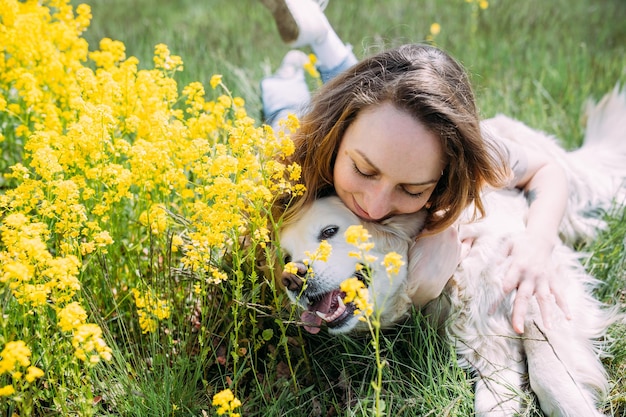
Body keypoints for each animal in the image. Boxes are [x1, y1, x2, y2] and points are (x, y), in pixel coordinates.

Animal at [280, 86, 624, 414]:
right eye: (286, 257)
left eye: (329, 231)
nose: (292, 278)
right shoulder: (488, 346)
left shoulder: (538, 291)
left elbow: (550, 376)